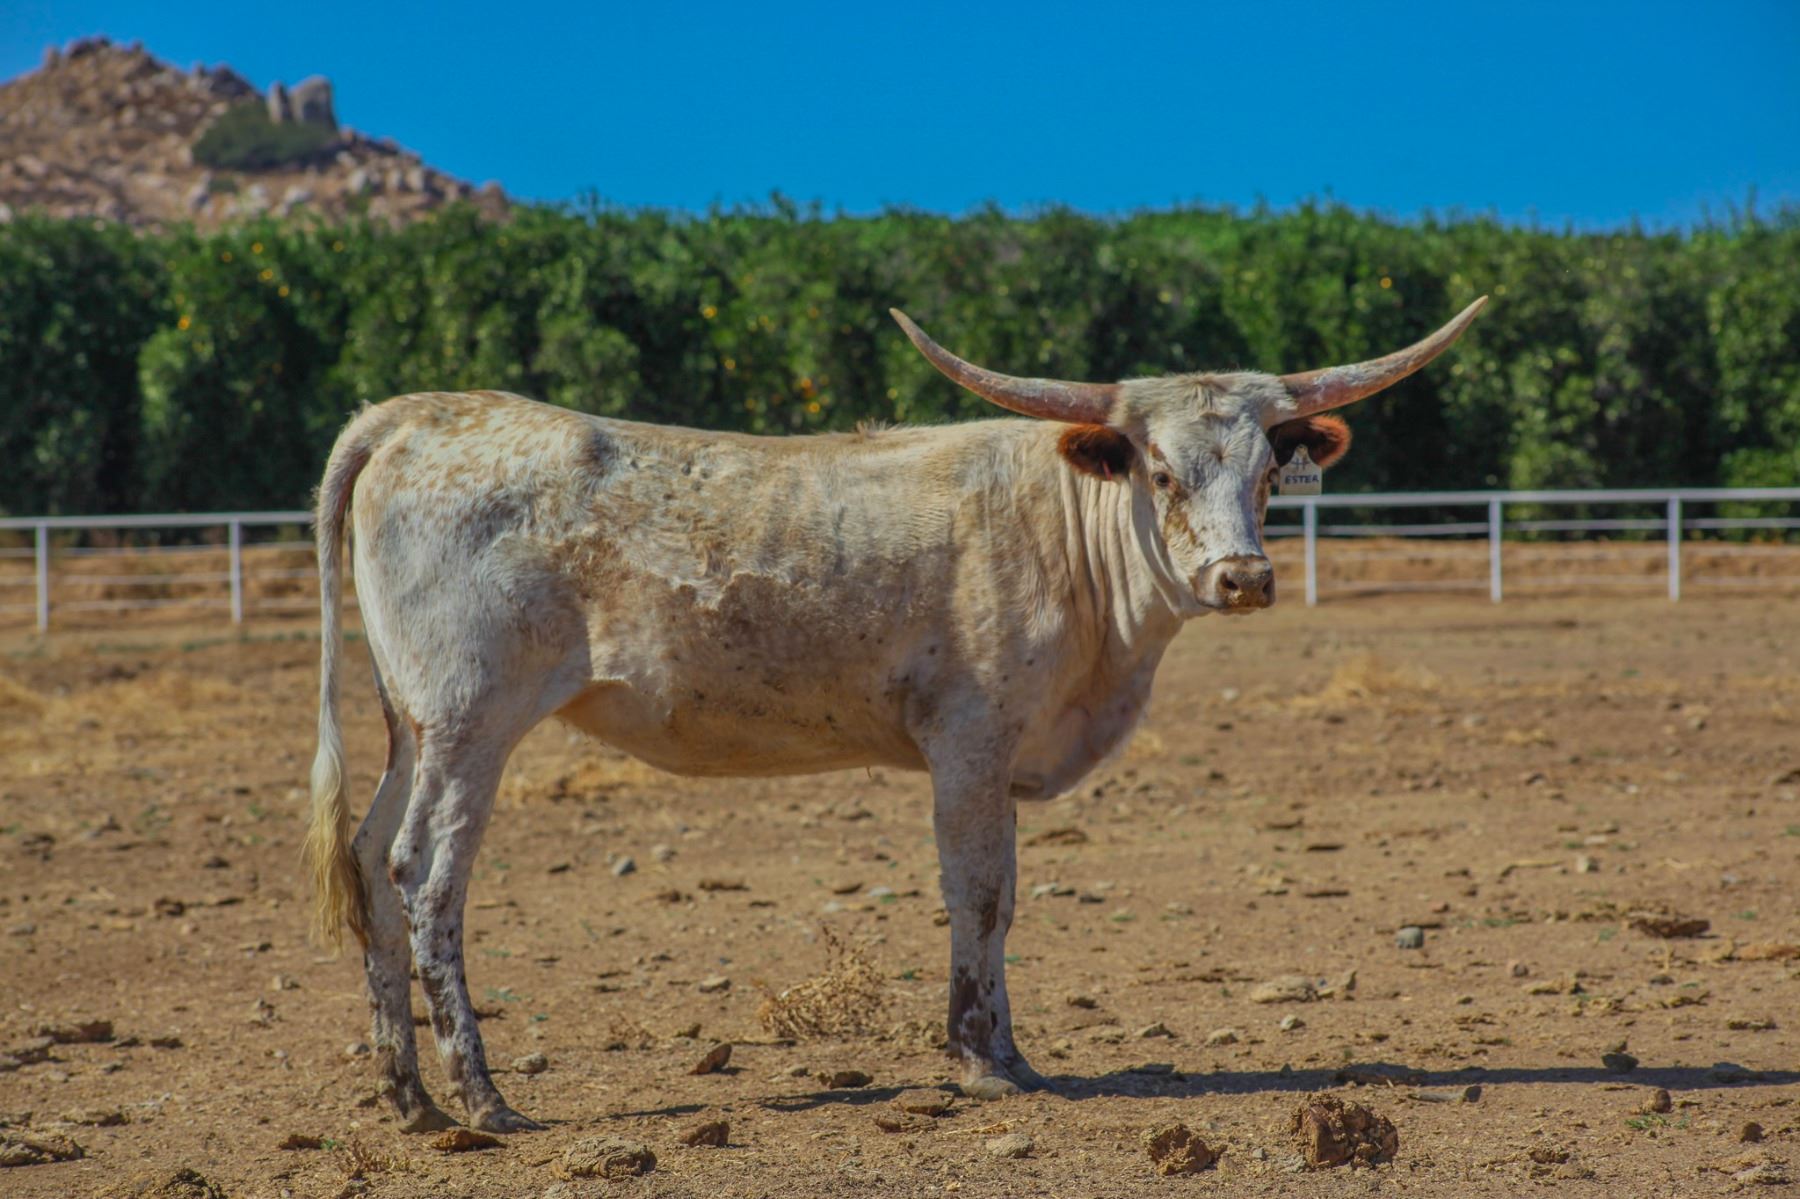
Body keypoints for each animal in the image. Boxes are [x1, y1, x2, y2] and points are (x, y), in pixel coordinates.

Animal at [305, 298, 1486, 1132]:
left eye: (1269, 471)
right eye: (1158, 469)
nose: (1244, 577)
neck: (1067, 533)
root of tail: (413, 415)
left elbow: (1001, 901)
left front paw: (1008, 1052)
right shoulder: (969, 743)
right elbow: (979, 893)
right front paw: (980, 1059)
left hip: (413, 723)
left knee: (365, 858)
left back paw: (407, 1096)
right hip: (472, 720)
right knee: (425, 873)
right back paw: (482, 1096)